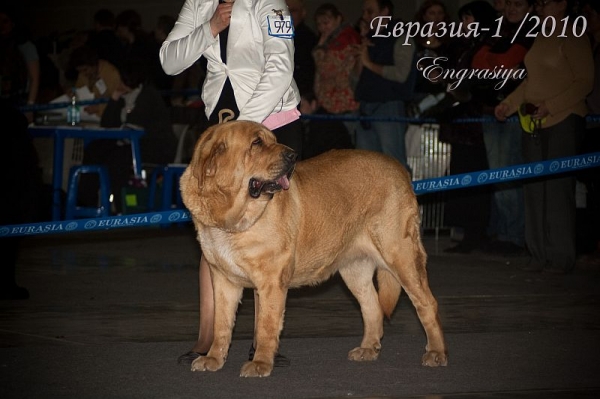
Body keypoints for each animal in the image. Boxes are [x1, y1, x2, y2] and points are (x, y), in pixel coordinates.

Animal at [180, 121, 448, 378]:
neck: (229, 217)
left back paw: (436, 353)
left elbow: (266, 326)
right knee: (372, 307)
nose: (292, 155)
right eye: (256, 143)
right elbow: (221, 324)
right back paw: (367, 349)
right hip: (355, 269)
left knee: (427, 303)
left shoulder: (271, 281)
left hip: (401, 255)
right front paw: (213, 359)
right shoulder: (223, 280)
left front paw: (260, 363)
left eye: (273, 140)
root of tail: (400, 168)